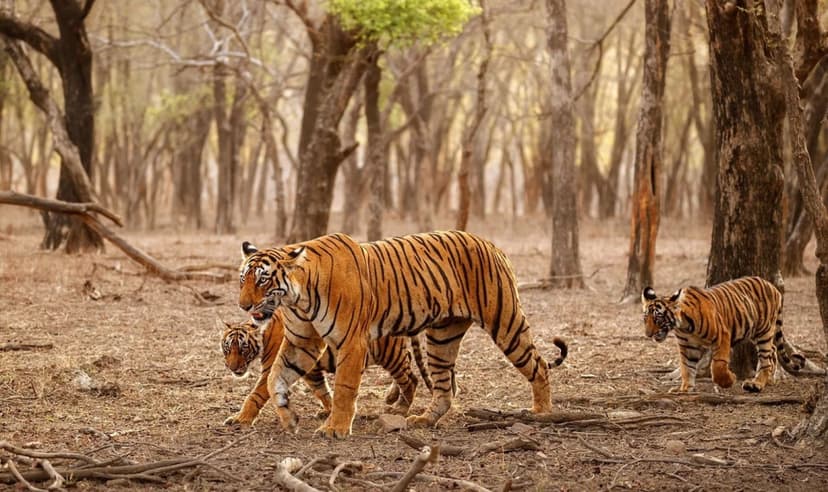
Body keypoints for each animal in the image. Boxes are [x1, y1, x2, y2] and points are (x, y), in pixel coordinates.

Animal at [220, 313, 432, 427]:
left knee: (411, 379)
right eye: (227, 348)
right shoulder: (309, 368)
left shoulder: (271, 370)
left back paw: (400, 408)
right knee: (408, 365)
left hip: (389, 353)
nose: (232, 367)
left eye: (243, 348)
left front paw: (240, 419)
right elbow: (321, 390)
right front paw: (329, 410)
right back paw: (391, 397)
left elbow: (254, 396)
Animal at [641, 276, 805, 393]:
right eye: (645, 319)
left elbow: (718, 366)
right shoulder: (687, 346)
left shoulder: (721, 336)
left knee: (766, 357)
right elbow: (687, 367)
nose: (648, 335)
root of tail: (773, 287)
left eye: (657, 319)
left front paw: (730, 380)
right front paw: (685, 388)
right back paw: (769, 379)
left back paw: (757, 383)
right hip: (756, 332)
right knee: (773, 350)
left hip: (763, 330)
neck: (683, 326)